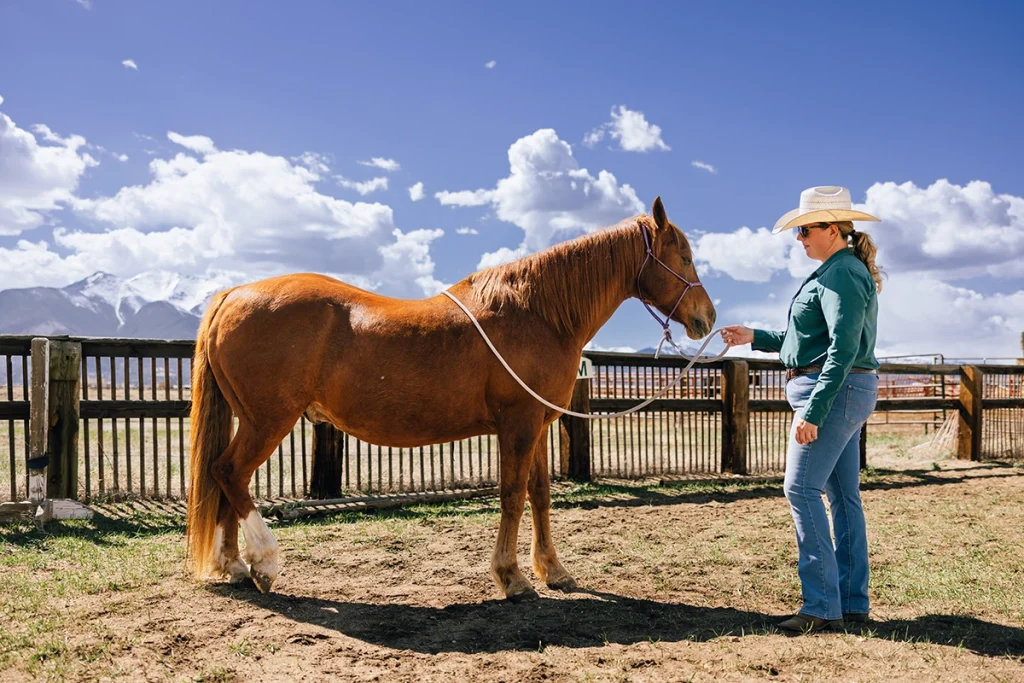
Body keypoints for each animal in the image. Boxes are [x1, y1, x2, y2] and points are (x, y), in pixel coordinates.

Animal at [185, 196, 716, 601]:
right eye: (684, 257)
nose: (707, 317)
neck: (538, 314)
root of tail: (234, 294)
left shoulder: (538, 426)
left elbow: (540, 495)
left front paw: (554, 571)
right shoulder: (518, 425)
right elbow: (512, 495)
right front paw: (512, 577)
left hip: (249, 420)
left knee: (226, 479)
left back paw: (234, 565)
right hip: (268, 421)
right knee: (230, 473)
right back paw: (265, 563)